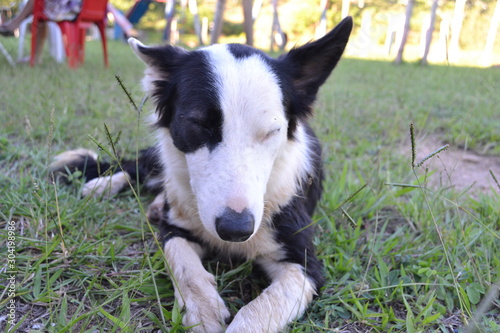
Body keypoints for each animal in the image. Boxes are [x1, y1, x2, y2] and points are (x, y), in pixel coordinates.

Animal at [52, 17, 352, 332]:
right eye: (198, 123)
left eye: (272, 132)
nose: (236, 230)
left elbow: (259, 310)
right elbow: (182, 260)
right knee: (138, 168)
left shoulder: (304, 264)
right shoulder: (174, 231)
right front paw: (202, 309)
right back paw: (103, 185)